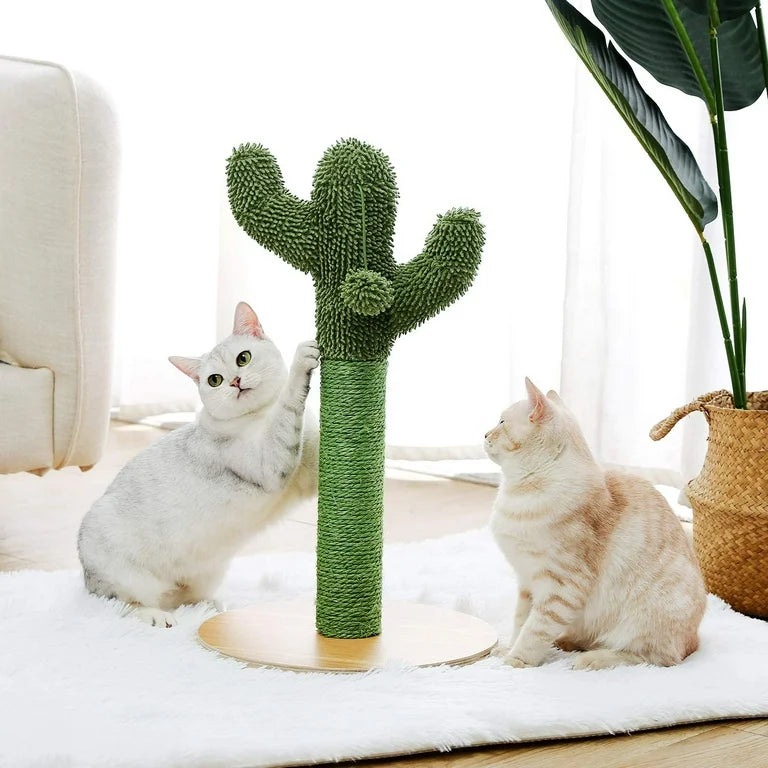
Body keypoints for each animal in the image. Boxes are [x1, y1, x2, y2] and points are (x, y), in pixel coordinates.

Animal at [78, 300, 318, 624]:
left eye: (243, 358)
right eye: (214, 380)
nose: (235, 382)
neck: (261, 413)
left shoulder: (307, 470)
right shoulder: (269, 460)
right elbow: (289, 405)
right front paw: (302, 361)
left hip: (206, 574)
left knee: (185, 597)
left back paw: (211, 608)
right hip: (122, 571)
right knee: (120, 603)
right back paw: (157, 616)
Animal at [488, 380, 704, 668]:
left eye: (501, 422)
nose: (485, 435)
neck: (518, 493)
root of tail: (694, 643)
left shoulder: (561, 588)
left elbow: (535, 630)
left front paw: (515, 661)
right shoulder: (526, 582)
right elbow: (520, 622)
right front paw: (508, 649)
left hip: (646, 622)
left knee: (649, 657)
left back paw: (590, 659)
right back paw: (566, 642)